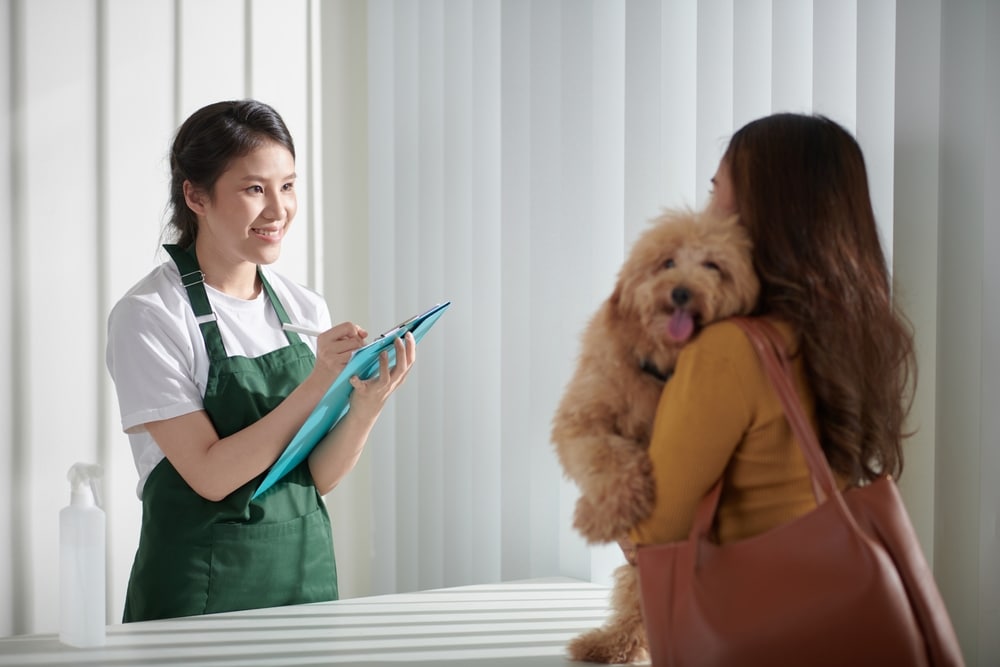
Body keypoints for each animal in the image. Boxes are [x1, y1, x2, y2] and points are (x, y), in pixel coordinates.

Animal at [552, 207, 760, 664]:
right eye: (666, 262)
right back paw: (606, 644)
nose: (682, 292)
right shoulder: (583, 418)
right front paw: (599, 515)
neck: (659, 365)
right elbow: (606, 454)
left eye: (713, 266)